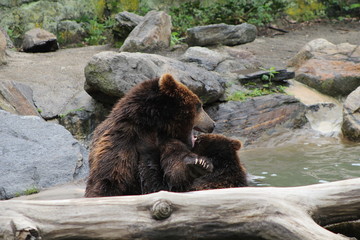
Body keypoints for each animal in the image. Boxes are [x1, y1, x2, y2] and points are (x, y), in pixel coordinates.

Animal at [84, 73, 214, 197]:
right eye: (199, 105)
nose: (212, 124)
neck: (151, 125)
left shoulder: (166, 140)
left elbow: (173, 168)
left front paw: (200, 164)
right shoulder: (121, 139)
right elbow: (111, 177)